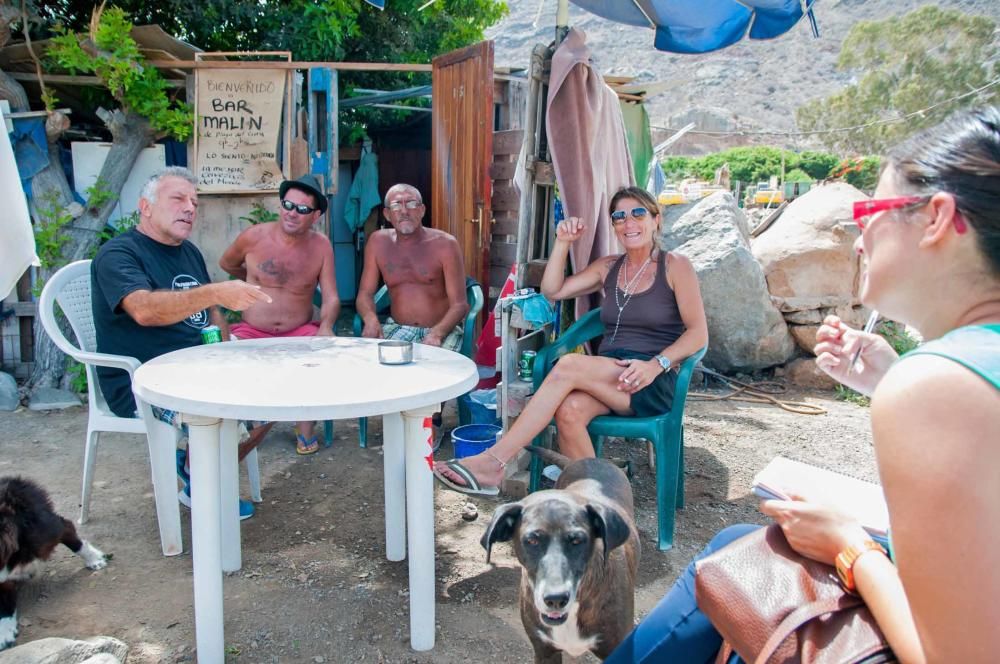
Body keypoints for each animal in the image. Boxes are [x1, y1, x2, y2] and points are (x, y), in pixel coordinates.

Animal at [0, 474, 107, 652]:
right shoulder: (3, 581)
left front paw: (94, 558)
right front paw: (5, 632)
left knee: (66, 526)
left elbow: (69, 530)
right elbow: (5, 604)